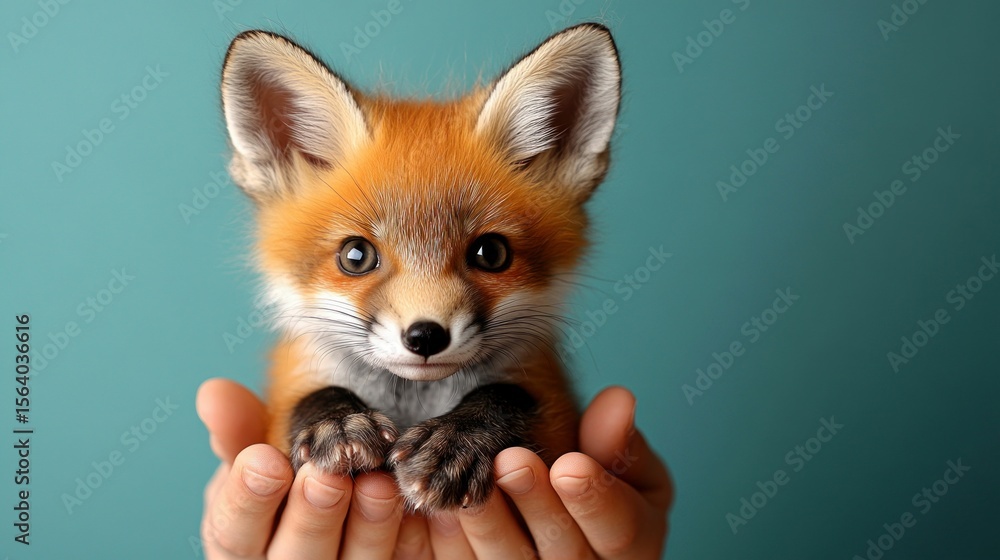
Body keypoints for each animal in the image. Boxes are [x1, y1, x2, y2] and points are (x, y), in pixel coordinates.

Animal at [219, 23, 622, 512]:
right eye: (355, 256)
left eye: (491, 254)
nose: (425, 336)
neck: (415, 399)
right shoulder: (285, 394)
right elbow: (310, 398)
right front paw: (338, 423)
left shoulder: (556, 407)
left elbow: (508, 395)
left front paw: (456, 442)